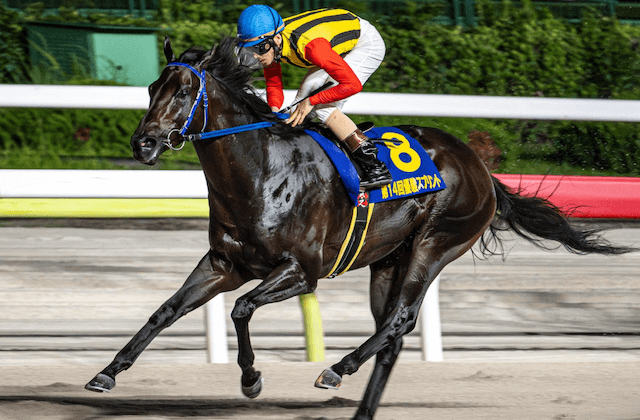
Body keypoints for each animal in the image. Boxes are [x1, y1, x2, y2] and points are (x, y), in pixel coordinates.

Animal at [85, 37, 636, 420]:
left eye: (183, 90)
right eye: (151, 89)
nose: (144, 143)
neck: (260, 171)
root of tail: (480, 167)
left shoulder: (301, 272)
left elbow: (241, 309)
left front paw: (252, 379)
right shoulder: (224, 263)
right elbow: (165, 311)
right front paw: (106, 374)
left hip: (434, 244)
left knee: (401, 321)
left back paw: (336, 369)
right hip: (387, 262)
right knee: (389, 334)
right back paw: (361, 406)